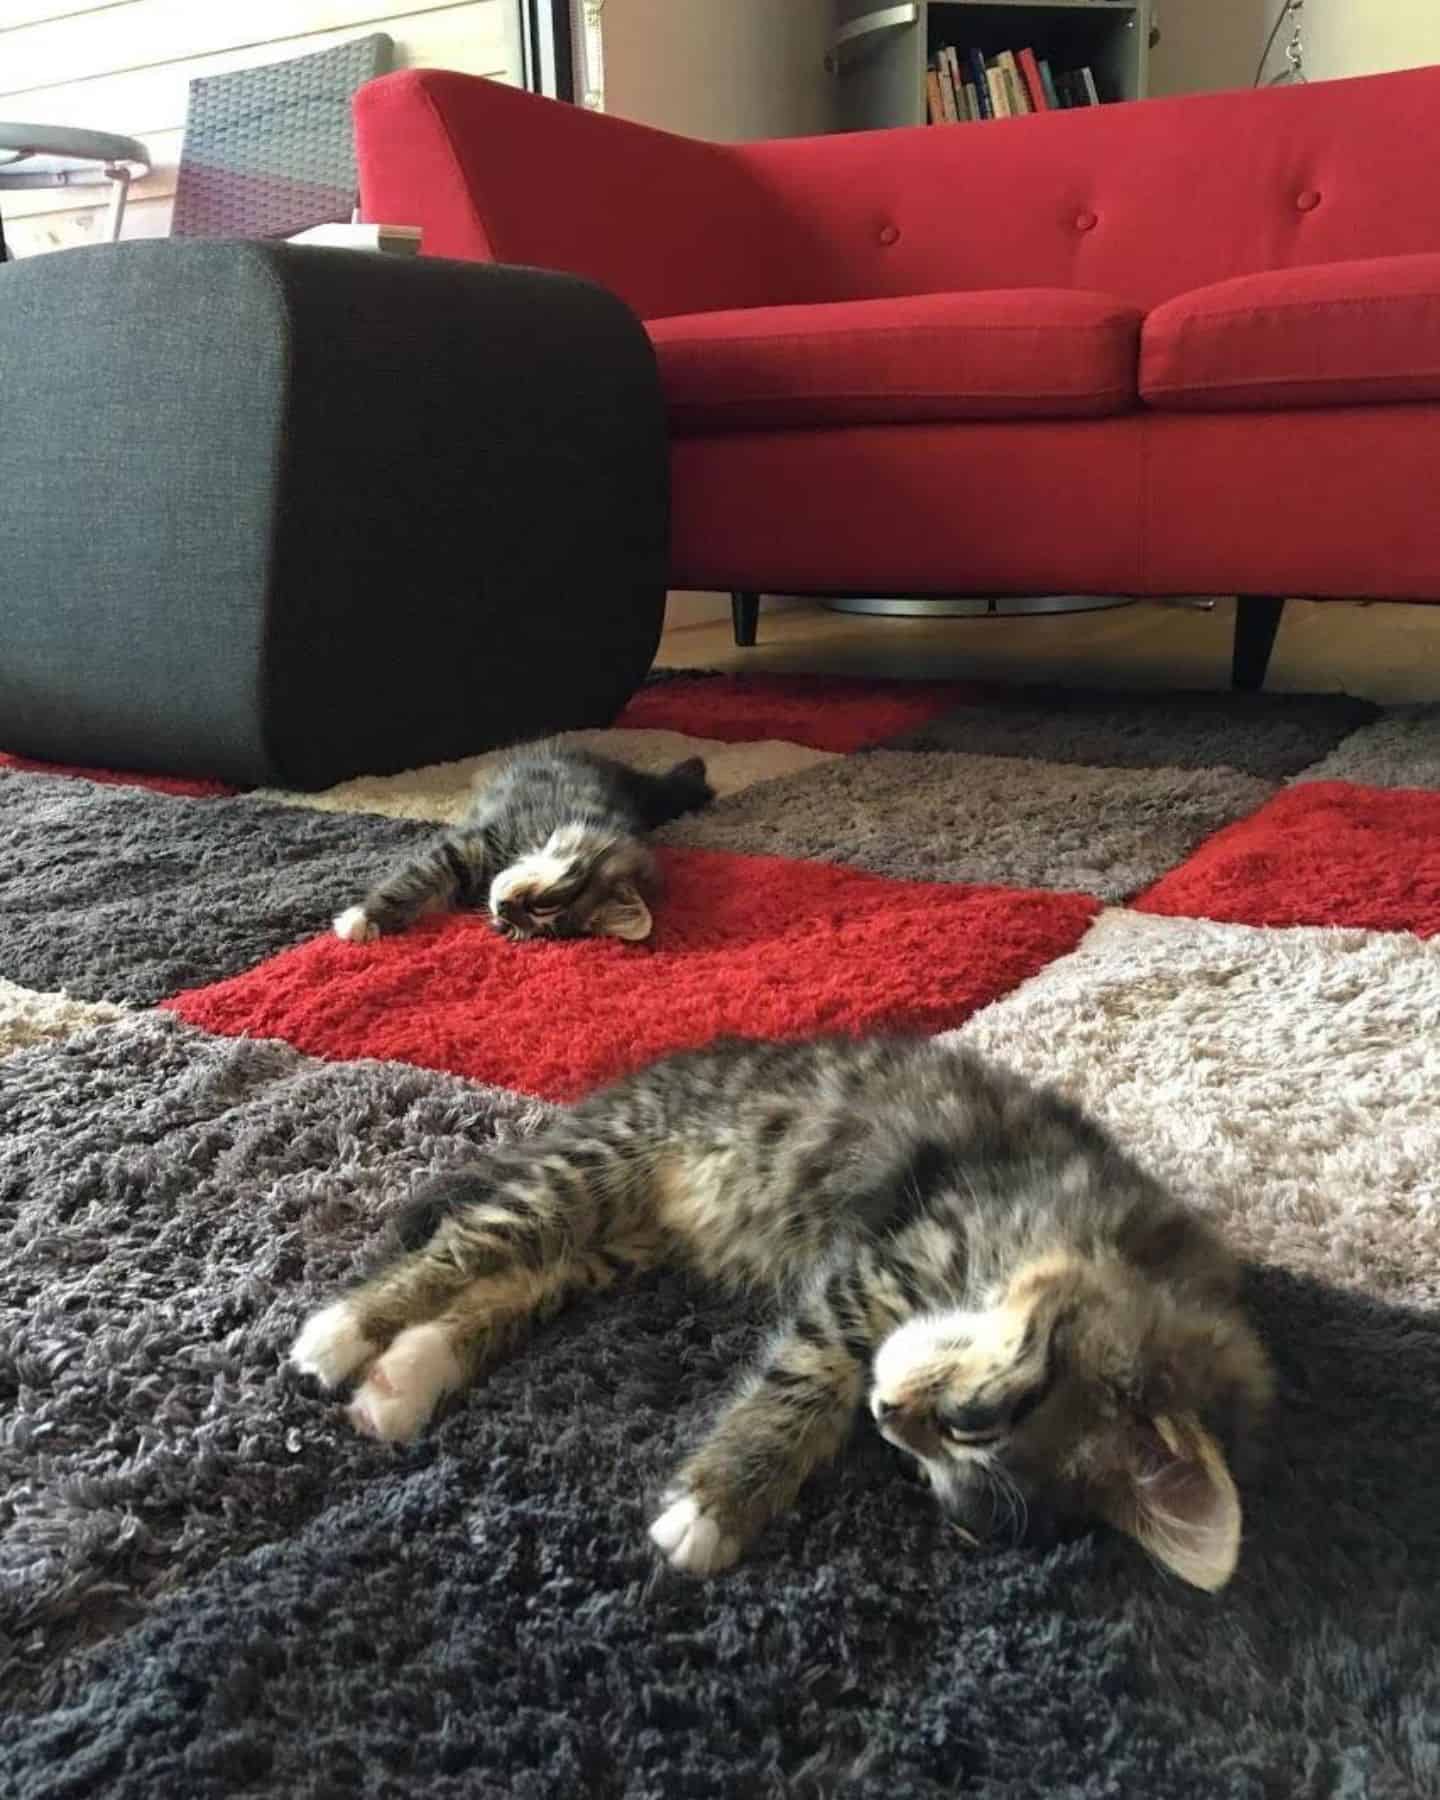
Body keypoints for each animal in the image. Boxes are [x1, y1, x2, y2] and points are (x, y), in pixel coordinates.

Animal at [289, 1036, 1274, 1598]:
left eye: (932, 1477)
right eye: (973, 1419)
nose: (890, 1416)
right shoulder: (877, 1270)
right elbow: (802, 1381)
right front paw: (714, 1506)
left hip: (616, 1241)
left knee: (514, 1284)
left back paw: (402, 1378)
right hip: (600, 1168)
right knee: (468, 1244)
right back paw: (343, 1333)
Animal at [333, 741, 712, 950]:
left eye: (512, 930)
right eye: (543, 904)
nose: (501, 911)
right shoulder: (473, 844)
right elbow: (415, 879)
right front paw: (361, 918)